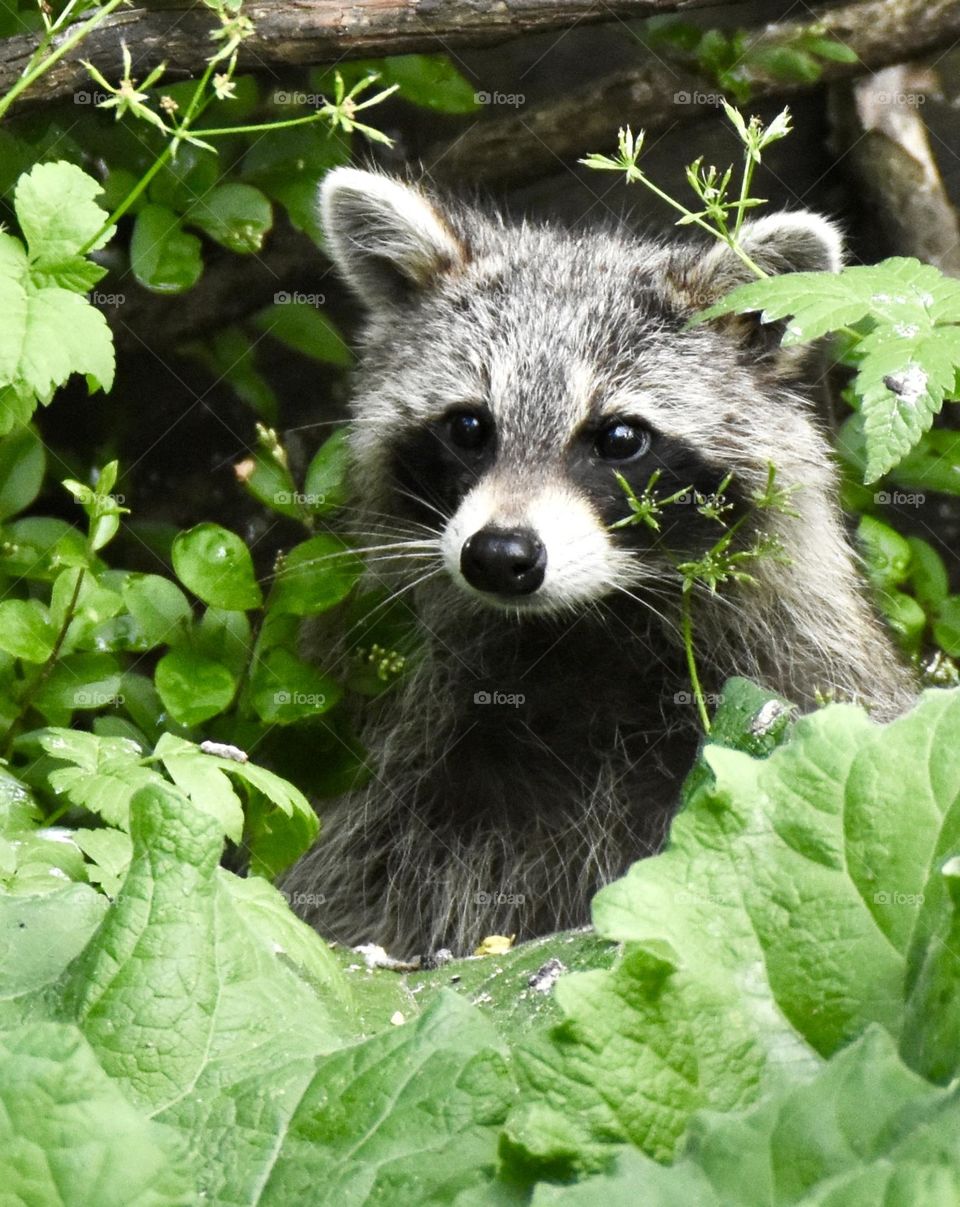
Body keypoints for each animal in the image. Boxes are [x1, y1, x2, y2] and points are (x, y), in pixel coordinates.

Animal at [285, 167, 916, 957]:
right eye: (469, 426)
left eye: (619, 437)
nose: (499, 556)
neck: (581, 631)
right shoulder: (423, 761)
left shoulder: (797, 687)